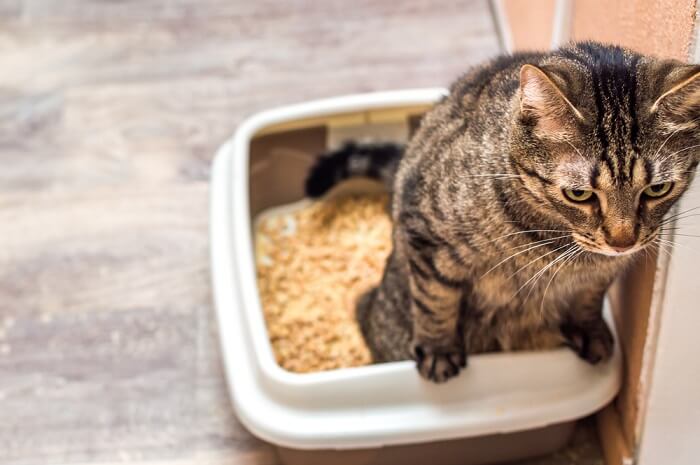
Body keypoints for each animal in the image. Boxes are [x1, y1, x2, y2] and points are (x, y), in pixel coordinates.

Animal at [304, 40, 696, 380]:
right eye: (579, 194)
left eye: (657, 189)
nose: (622, 242)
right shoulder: (427, 231)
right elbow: (435, 301)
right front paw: (438, 351)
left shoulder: (602, 273)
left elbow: (587, 298)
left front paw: (589, 330)